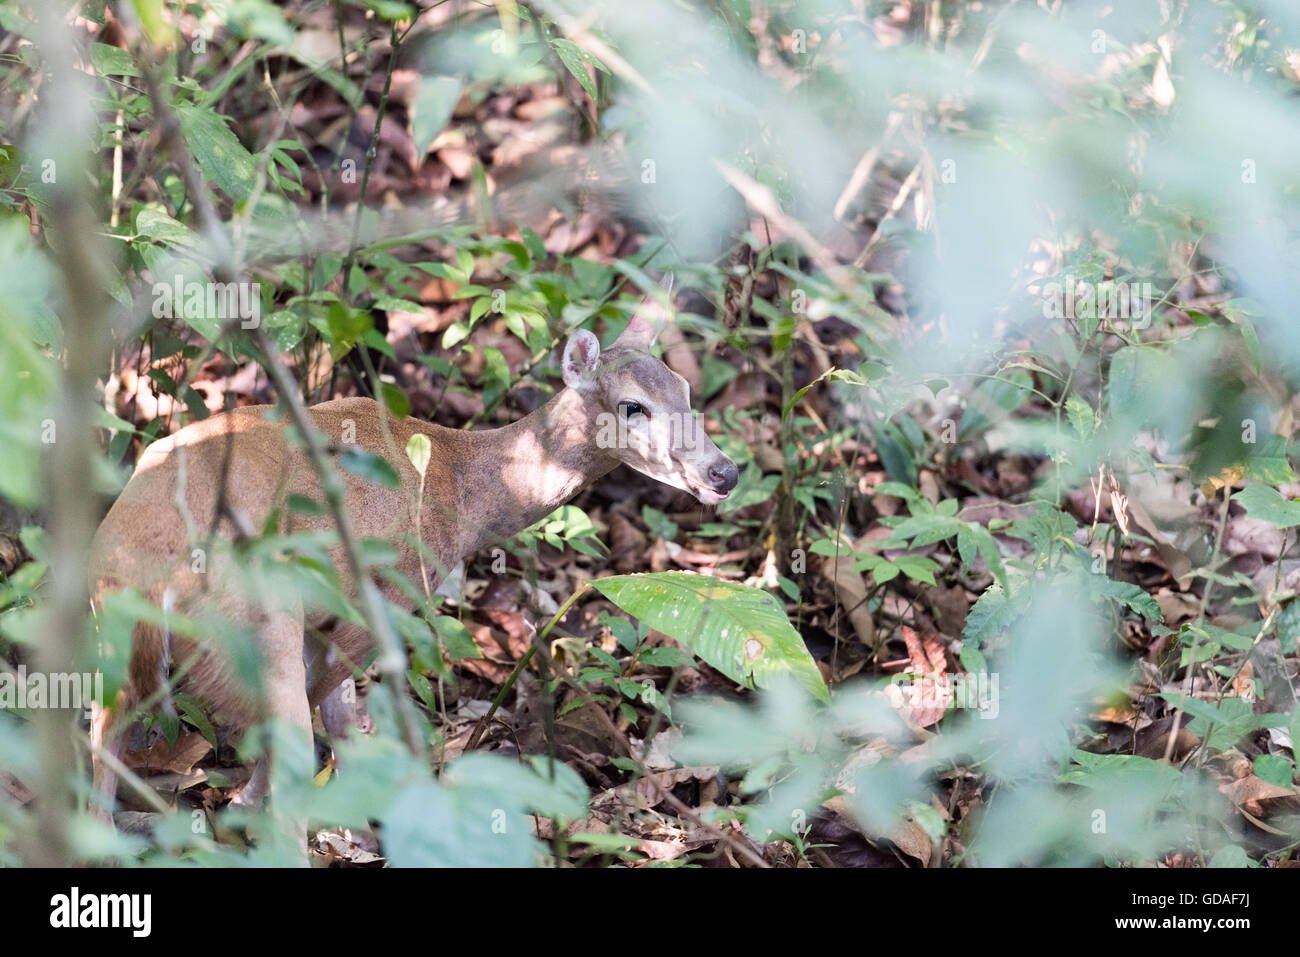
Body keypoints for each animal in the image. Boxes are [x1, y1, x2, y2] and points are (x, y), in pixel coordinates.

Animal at [89, 287, 743, 832]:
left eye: (686, 391)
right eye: (633, 406)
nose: (724, 472)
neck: (458, 483)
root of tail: (153, 573)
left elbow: (343, 724)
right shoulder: (387, 593)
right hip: (253, 622)